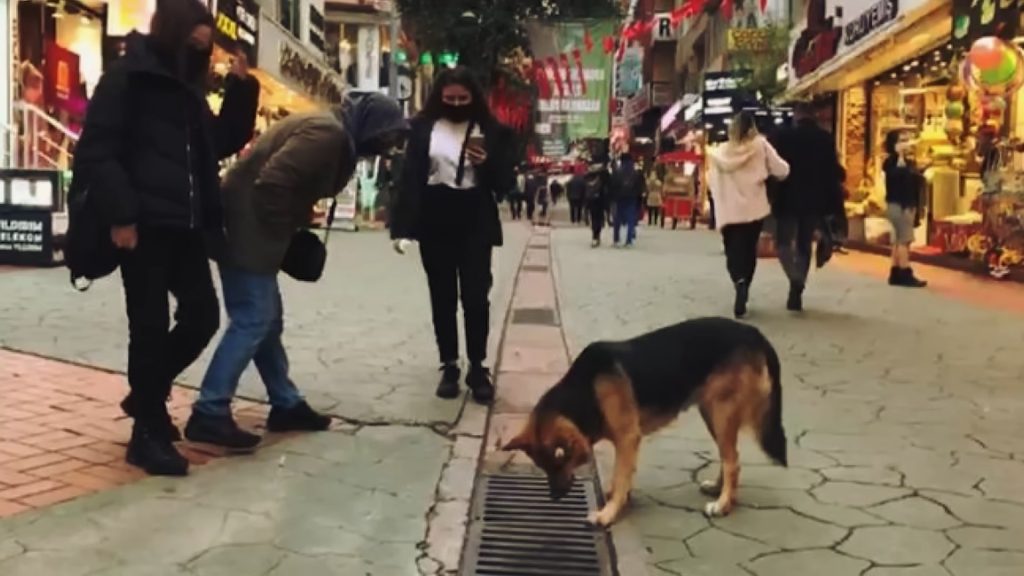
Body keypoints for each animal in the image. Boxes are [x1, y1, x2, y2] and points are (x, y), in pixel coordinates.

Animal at [499, 315, 786, 528]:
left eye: (559, 461)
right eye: (543, 467)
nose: (555, 497)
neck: (586, 389)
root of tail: (754, 333)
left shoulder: (627, 438)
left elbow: (620, 474)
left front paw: (608, 513)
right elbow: (622, 477)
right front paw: (620, 497)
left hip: (721, 412)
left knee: (732, 462)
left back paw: (724, 504)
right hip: (712, 412)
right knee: (729, 458)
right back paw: (718, 488)